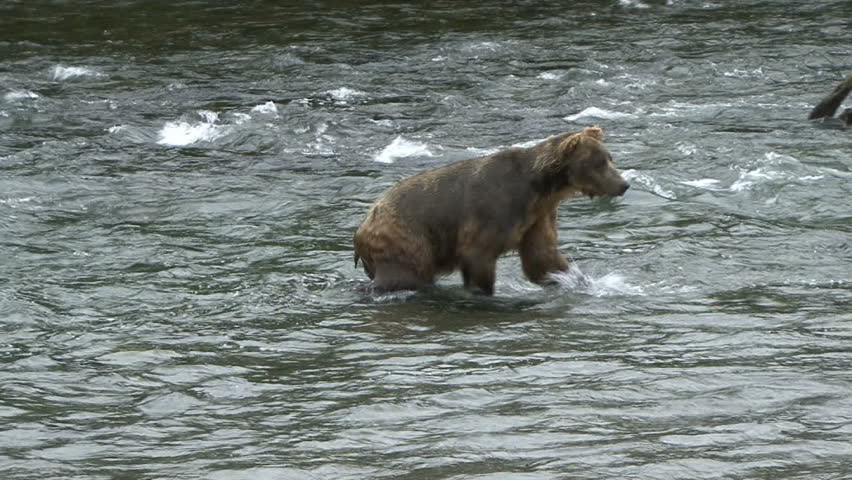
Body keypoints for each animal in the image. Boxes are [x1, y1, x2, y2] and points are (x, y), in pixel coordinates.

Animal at [353, 126, 629, 295]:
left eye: (610, 158)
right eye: (599, 163)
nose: (623, 184)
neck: (541, 189)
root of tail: (361, 227)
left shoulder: (538, 216)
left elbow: (543, 258)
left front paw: (577, 280)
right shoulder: (493, 211)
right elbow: (478, 255)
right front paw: (483, 292)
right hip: (407, 239)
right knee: (404, 276)